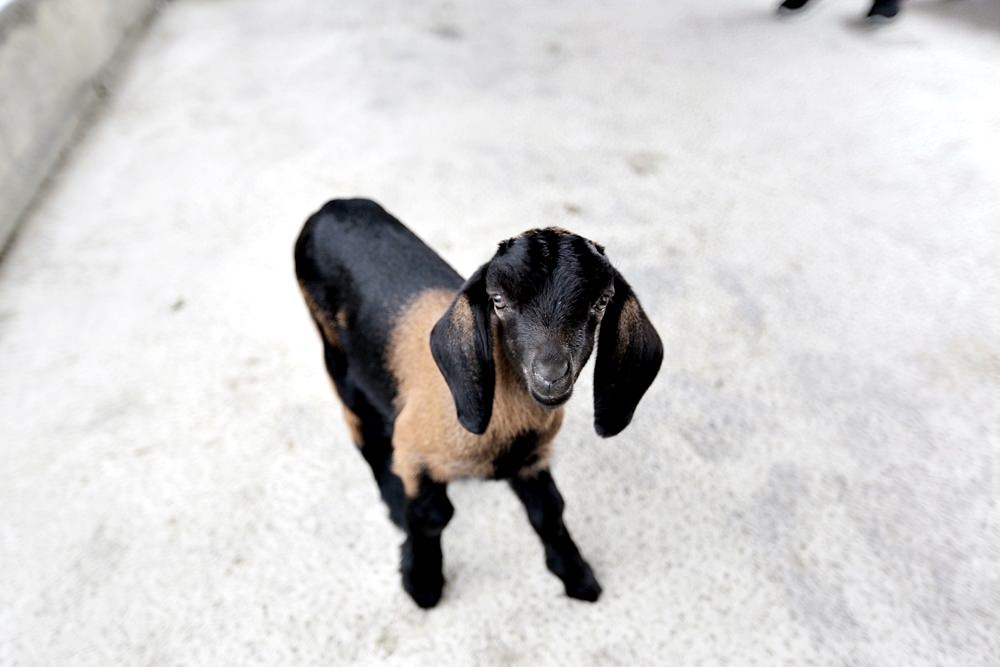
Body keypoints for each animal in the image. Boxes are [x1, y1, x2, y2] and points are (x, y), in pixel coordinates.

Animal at [292, 200, 660, 612]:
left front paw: (576, 575)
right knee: (361, 426)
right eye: (498, 301)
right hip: (334, 351)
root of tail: (333, 206)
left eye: (601, 301)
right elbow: (433, 515)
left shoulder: (532, 457)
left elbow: (549, 510)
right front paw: (422, 583)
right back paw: (392, 498)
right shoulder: (415, 448)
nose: (550, 375)